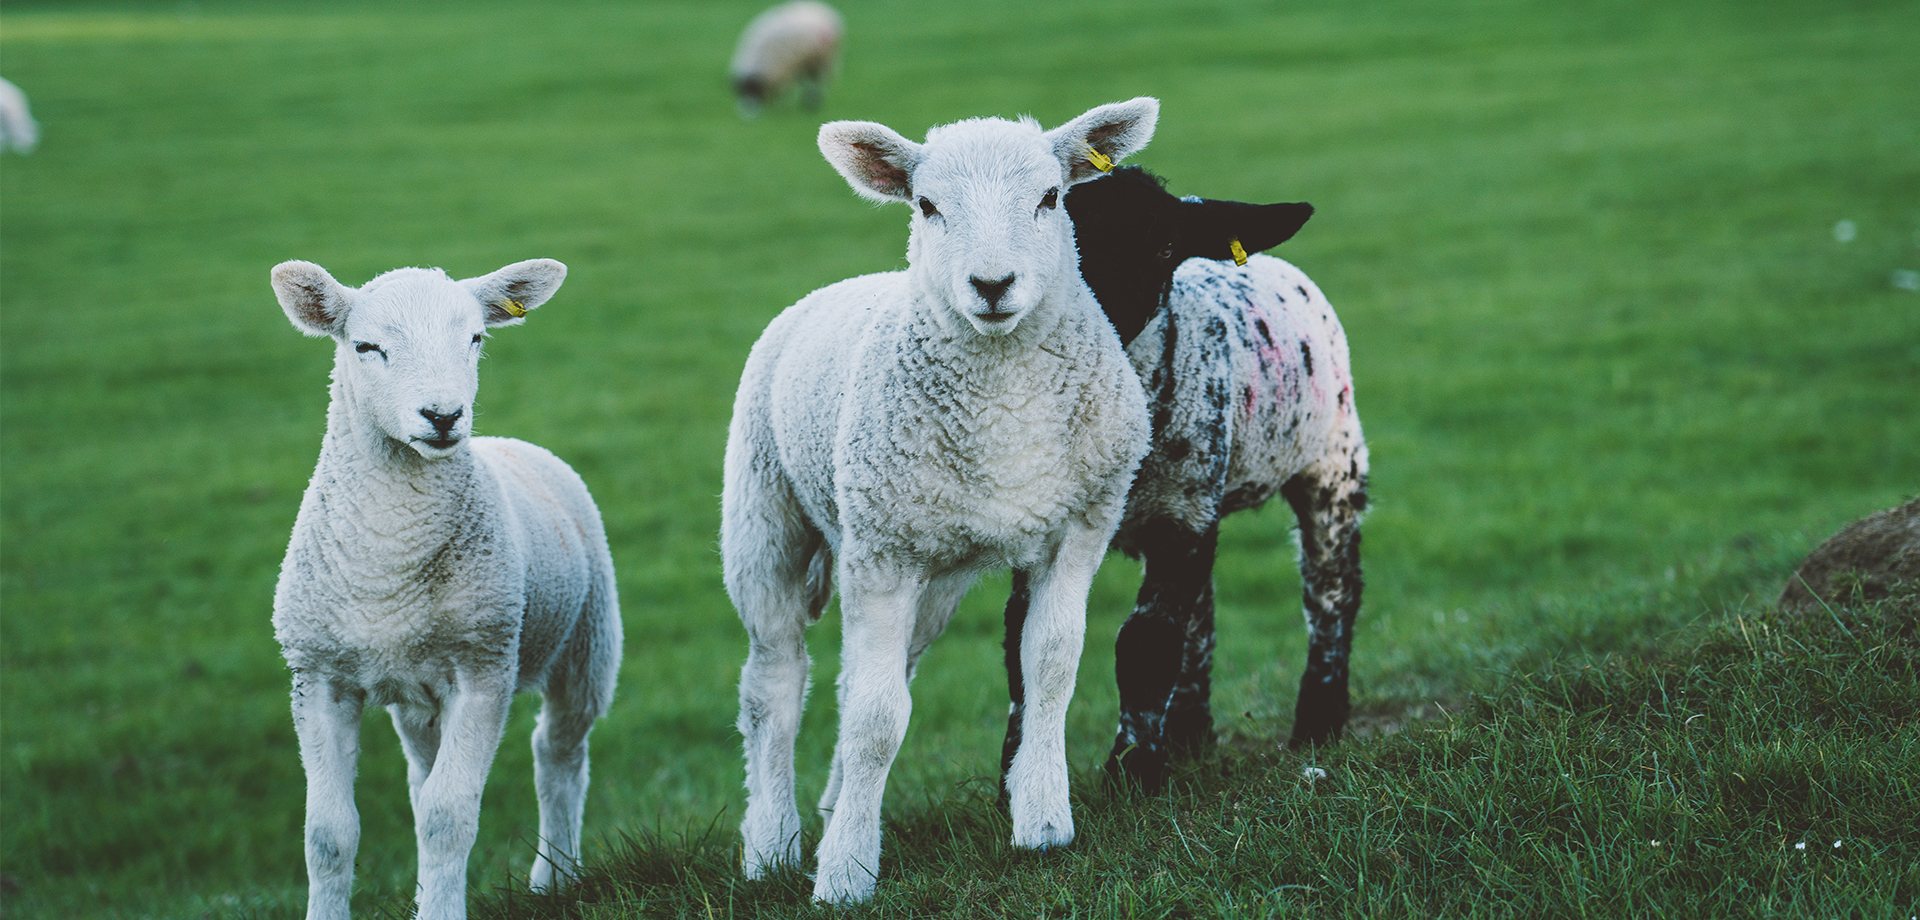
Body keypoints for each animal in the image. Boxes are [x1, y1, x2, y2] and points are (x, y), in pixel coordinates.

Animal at [269, 258, 621, 920]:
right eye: (367, 347)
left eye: (476, 339)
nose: (443, 416)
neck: (387, 564)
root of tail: (509, 442)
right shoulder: (319, 677)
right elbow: (327, 833)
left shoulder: (483, 669)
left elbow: (447, 816)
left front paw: (442, 907)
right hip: (416, 694)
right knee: (420, 774)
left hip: (588, 642)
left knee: (558, 758)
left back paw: (555, 877)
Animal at [722, 98, 1160, 903]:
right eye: (926, 206)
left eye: (1050, 198)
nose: (992, 283)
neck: (1005, 395)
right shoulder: (883, 554)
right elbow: (877, 720)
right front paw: (846, 872)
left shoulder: (1078, 530)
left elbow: (1050, 667)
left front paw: (1043, 820)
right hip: (768, 517)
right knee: (774, 682)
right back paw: (773, 844)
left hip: (931, 573)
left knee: (865, 675)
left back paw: (831, 807)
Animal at [998, 165, 1367, 793]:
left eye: (1165, 246)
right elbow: (1022, 637)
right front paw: (1016, 777)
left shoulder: (1181, 517)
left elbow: (1144, 642)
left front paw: (1131, 771)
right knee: (1202, 616)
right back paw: (1190, 734)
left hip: (1331, 462)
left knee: (1331, 589)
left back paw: (1318, 722)